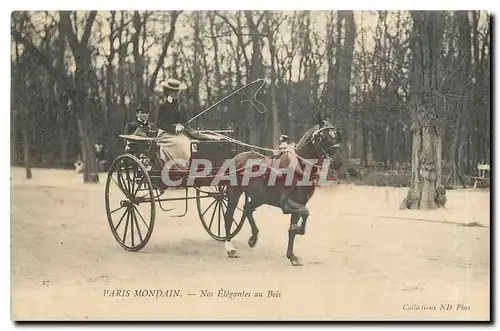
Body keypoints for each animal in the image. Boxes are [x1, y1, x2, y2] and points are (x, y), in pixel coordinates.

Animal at [223, 116, 344, 268]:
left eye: (337, 136)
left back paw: (253, 237)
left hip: (260, 197)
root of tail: (238, 157)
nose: (337, 162)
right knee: (228, 216)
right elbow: (305, 213)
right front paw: (296, 229)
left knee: (248, 208)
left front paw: (292, 255)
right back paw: (230, 248)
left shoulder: (300, 202)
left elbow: (294, 227)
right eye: (323, 136)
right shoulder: (286, 204)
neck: (300, 167)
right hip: (234, 192)